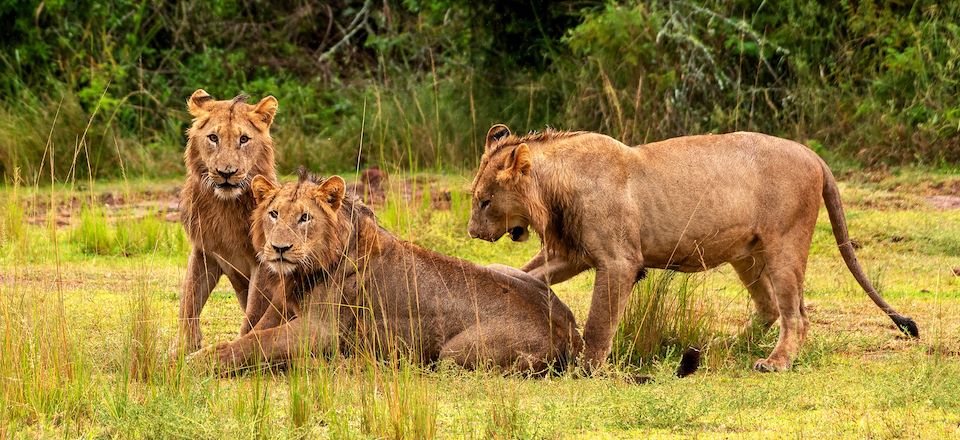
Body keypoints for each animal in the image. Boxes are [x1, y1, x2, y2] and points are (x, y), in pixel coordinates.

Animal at [191, 170, 580, 372]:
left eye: (305, 218)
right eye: (273, 214)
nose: (279, 248)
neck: (304, 270)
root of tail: (570, 330)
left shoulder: (319, 331)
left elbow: (253, 343)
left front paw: (197, 361)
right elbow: (250, 336)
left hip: (452, 355)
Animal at [468, 123, 920, 372]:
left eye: (484, 201)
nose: (472, 232)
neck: (553, 189)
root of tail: (814, 155)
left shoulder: (619, 261)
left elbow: (599, 323)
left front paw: (587, 367)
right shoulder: (570, 253)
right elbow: (527, 273)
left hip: (784, 245)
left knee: (796, 314)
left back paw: (775, 363)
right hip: (747, 254)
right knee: (769, 307)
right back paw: (727, 346)